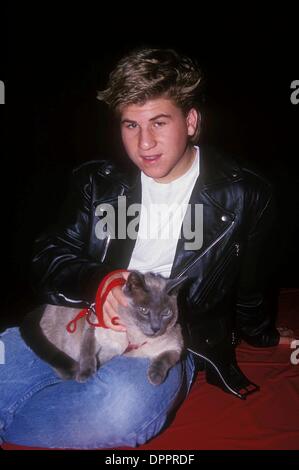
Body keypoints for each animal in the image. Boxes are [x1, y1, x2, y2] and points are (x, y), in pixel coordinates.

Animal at [19, 272, 186, 386]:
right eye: (144, 310)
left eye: (166, 313)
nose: (156, 328)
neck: (134, 337)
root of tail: (44, 306)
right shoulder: (94, 329)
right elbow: (88, 353)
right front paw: (85, 375)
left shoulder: (175, 347)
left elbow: (164, 359)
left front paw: (155, 377)